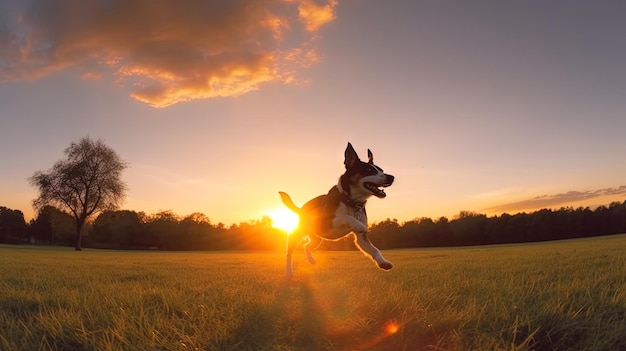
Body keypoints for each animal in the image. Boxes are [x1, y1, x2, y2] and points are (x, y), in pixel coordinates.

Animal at [280, 142, 394, 280]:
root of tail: (300, 209)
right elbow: (346, 217)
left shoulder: (361, 238)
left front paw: (382, 262)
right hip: (298, 234)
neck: (350, 201)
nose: (391, 177)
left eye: (381, 170)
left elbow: (374, 249)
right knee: (289, 252)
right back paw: (288, 273)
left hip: (318, 238)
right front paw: (358, 224)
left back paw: (311, 260)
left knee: (306, 245)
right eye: (369, 170)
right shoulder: (325, 223)